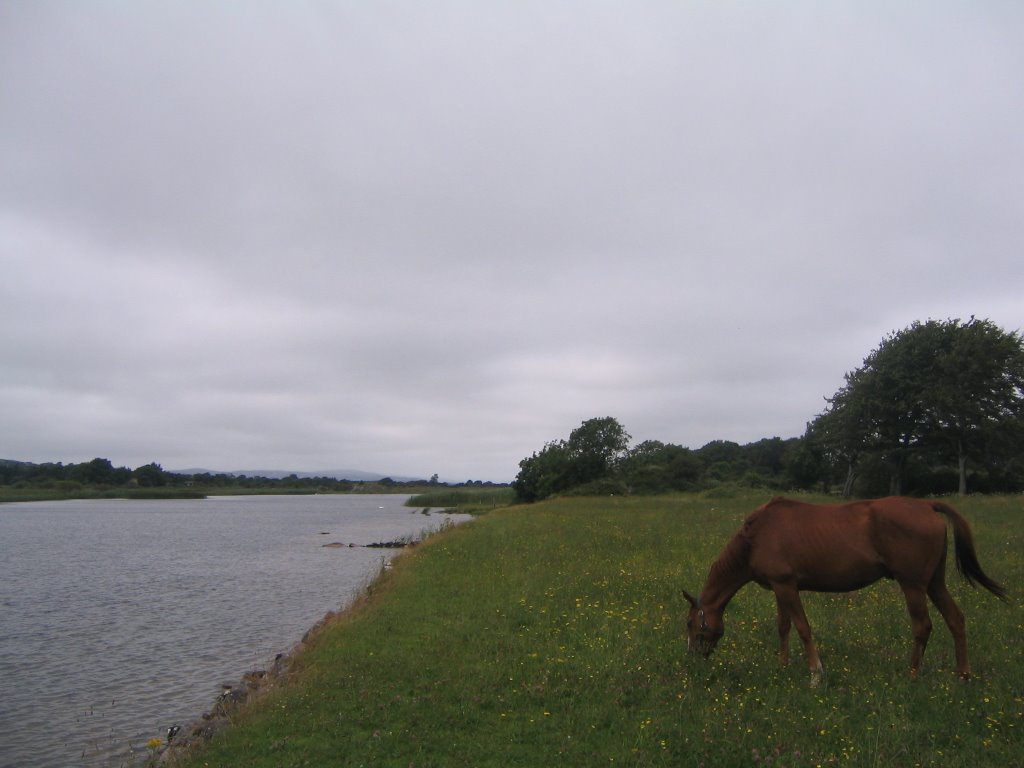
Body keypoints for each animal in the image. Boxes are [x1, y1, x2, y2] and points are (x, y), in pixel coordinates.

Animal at [684, 499, 1003, 684]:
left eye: (689, 623)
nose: (692, 658)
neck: (755, 537)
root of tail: (926, 505)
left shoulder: (786, 586)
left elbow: (802, 628)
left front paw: (815, 672)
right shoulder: (779, 587)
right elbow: (783, 626)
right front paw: (783, 665)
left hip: (913, 585)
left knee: (923, 626)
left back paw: (912, 674)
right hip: (934, 583)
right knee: (956, 619)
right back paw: (963, 674)